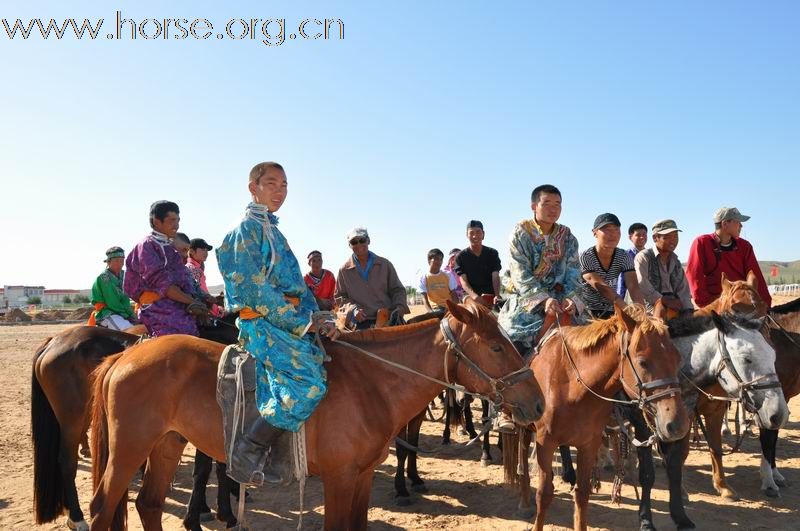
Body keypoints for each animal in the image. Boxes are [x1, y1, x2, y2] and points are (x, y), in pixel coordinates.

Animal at [90, 302, 548, 528]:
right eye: (496, 347)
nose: (539, 403)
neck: (370, 382)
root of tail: (124, 356)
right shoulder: (339, 479)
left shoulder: (361, 476)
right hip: (130, 448)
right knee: (102, 506)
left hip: (166, 444)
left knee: (148, 504)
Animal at [506, 304, 688, 531]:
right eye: (643, 362)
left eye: (677, 358)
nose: (677, 425)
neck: (571, 385)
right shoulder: (544, 442)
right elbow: (544, 494)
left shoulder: (588, 443)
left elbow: (582, 494)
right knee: (522, 460)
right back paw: (524, 501)